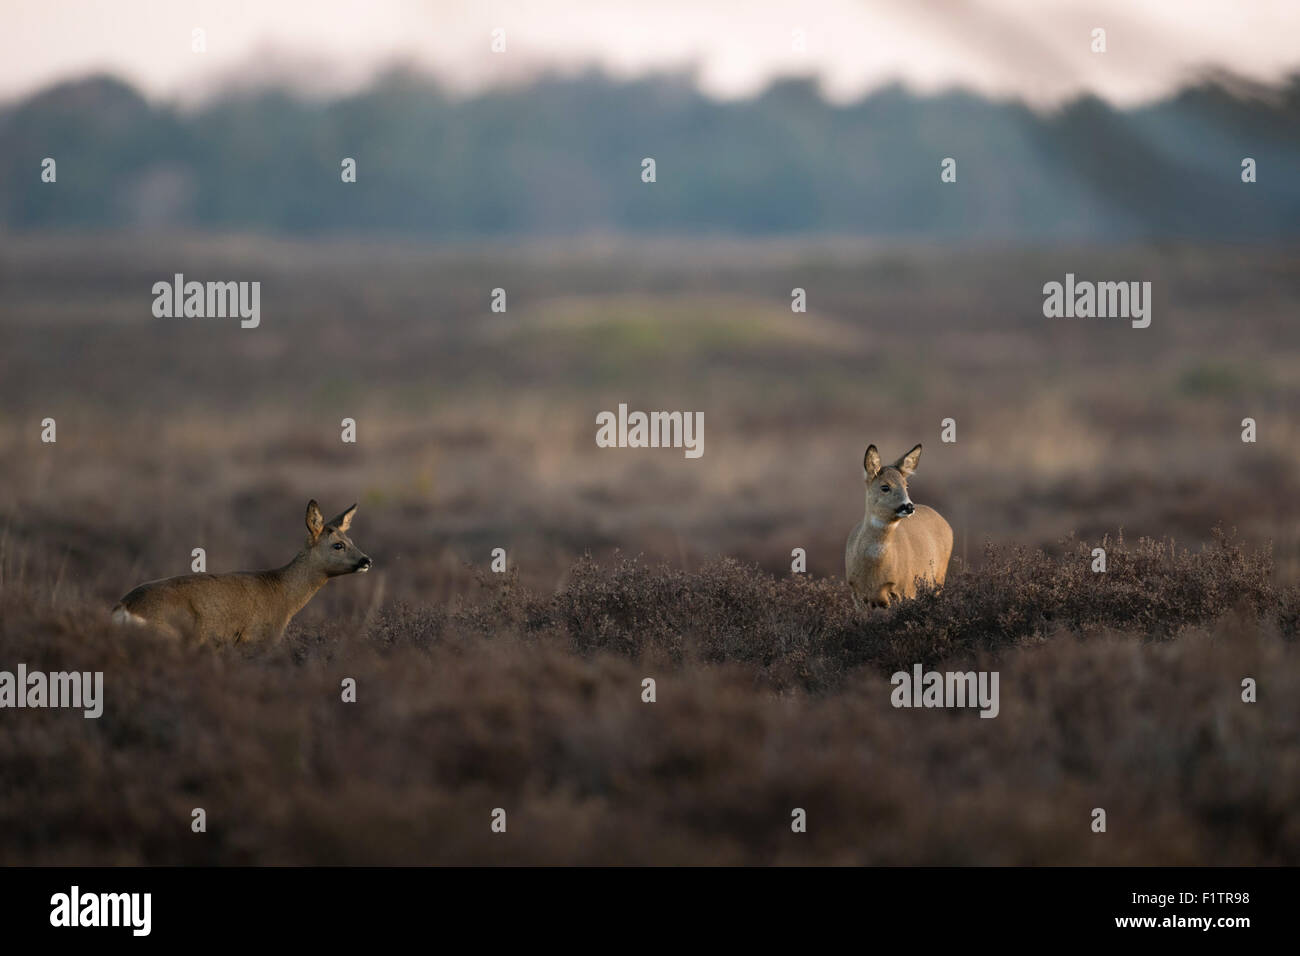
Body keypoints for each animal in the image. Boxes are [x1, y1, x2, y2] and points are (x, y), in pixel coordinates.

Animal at [111, 502, 371, 642]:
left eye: (351, 539)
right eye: (338, 545)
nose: (366, 560)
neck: (283, 594)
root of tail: (124, 608)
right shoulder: (253, 639)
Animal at [847, 442, 951, 608]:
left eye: (906, 485)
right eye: (885, 487)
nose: (909, 506)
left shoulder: (904, 589)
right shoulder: (856, 594)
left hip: (939, 578)